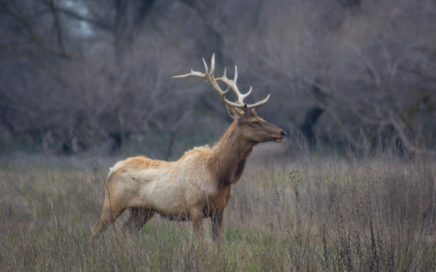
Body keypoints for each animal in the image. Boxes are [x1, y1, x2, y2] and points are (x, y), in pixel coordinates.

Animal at [88, 54, 286, 246]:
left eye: (261, 117)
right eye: (254, 122)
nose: (282, 132)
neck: (219, 175)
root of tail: (111, 169)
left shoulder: (219, 210)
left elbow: (219, 245)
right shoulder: (195, 208)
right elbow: (202, 245)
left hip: (142, 210)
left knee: (125, 232)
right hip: (112, 203)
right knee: (96, 230)